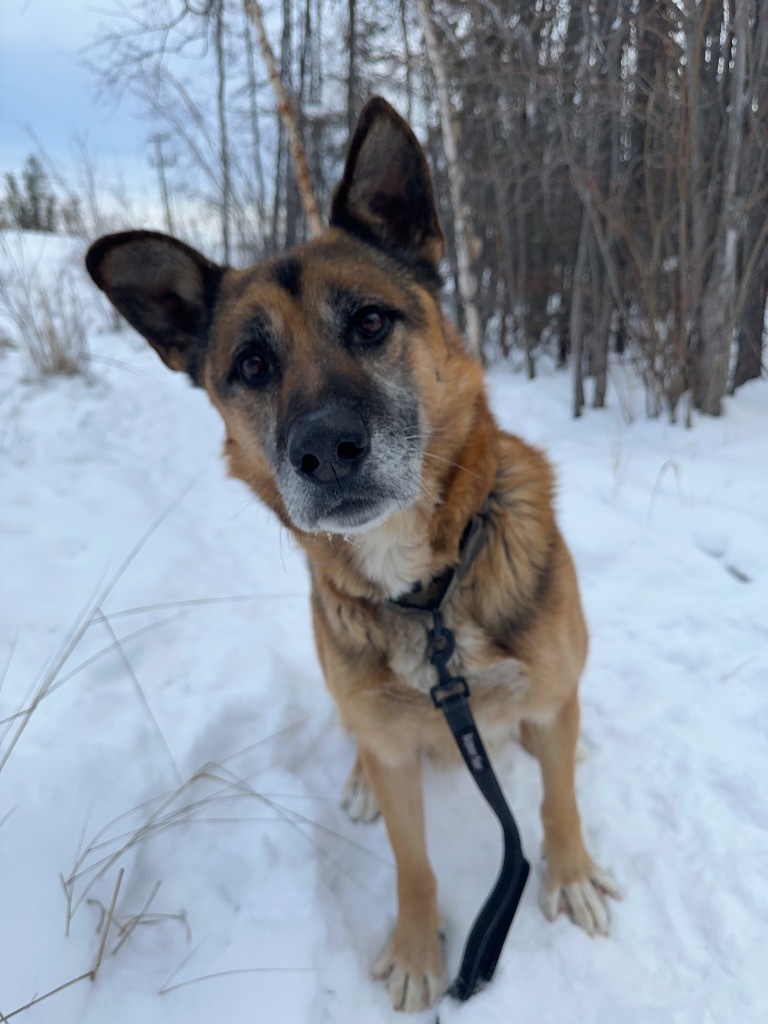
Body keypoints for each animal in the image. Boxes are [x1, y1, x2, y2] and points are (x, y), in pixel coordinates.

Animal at [87, 97, 622, 1015]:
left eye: (371, 322)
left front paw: (572, 875)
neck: (429, 594)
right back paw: (360, 785)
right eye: (251, 364)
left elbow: (558, 803)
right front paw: (416, 950)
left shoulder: (551, 700)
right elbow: (414, 865)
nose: (325, 450)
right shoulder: (396, 746)